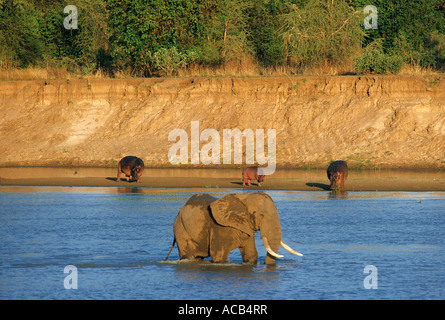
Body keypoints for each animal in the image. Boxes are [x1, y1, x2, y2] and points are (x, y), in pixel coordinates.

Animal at [165, 192, 304, 264]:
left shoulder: (246, 229)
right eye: (261, 215)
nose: (265, 264)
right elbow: (219, 255)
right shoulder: (219, 226)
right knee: (189, 255)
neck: (243, 197)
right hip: (181, 229)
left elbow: (251, 254)